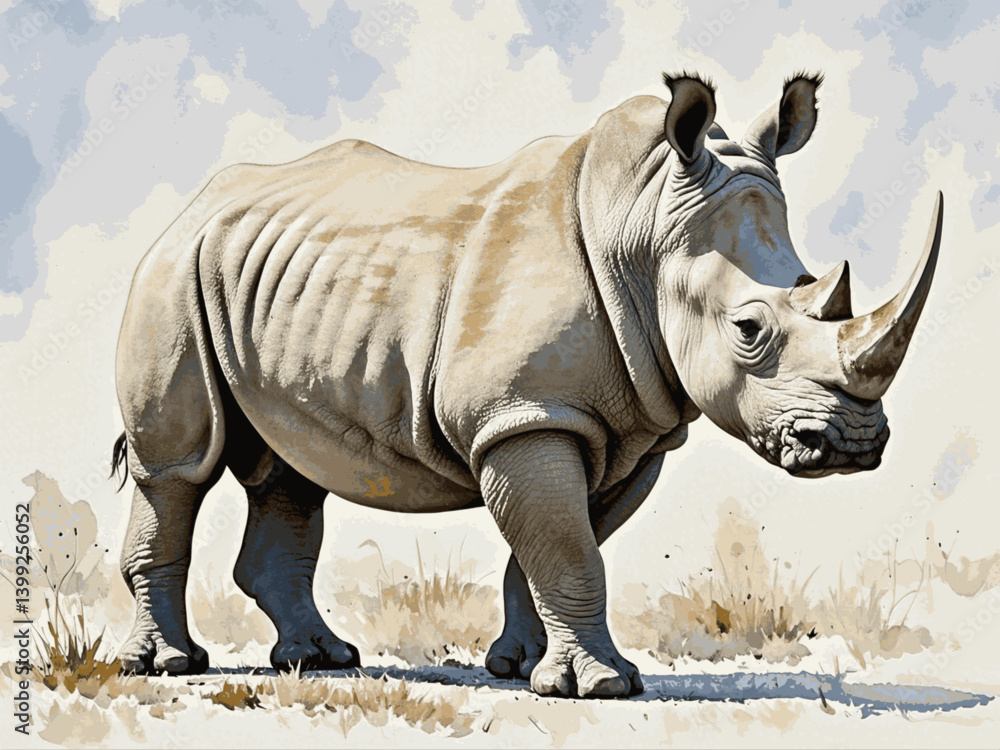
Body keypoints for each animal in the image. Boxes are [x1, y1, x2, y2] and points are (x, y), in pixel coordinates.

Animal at [111, 72, 943, 698]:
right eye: (749, 329)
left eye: (812, 284)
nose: (855, 443)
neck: (644, 223)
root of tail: (196, 202)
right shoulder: (525, 416)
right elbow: (567, 549)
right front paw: (603, 687)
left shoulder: (622, 430)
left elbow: (554, 548)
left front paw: (522, 668)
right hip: (169, 274)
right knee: (178, 469)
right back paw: (169, 666)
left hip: (270, 279)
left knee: (291, 466)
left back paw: (321, 660)